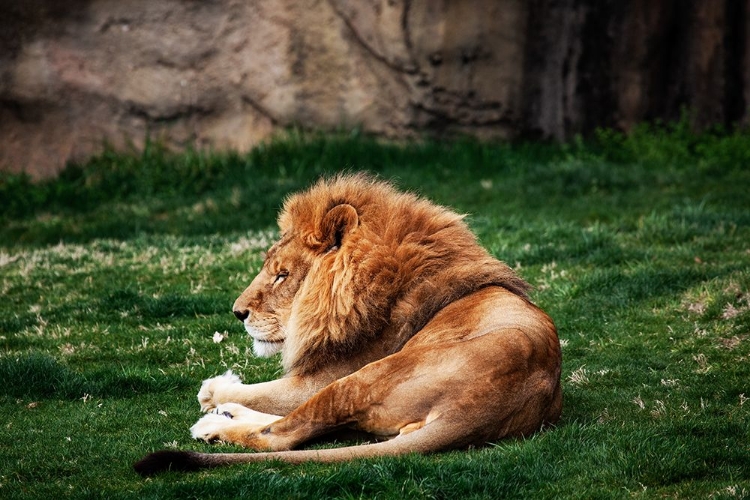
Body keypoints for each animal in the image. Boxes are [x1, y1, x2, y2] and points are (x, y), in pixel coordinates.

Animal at [135, 174, 560, 474]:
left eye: (282, 275)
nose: (238, 313)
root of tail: (475, 412)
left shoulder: (325, 375)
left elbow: (267, 395)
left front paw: (215, 390)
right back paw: (226, 415)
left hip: (362, 378)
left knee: (284, 435)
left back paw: (213, 426)